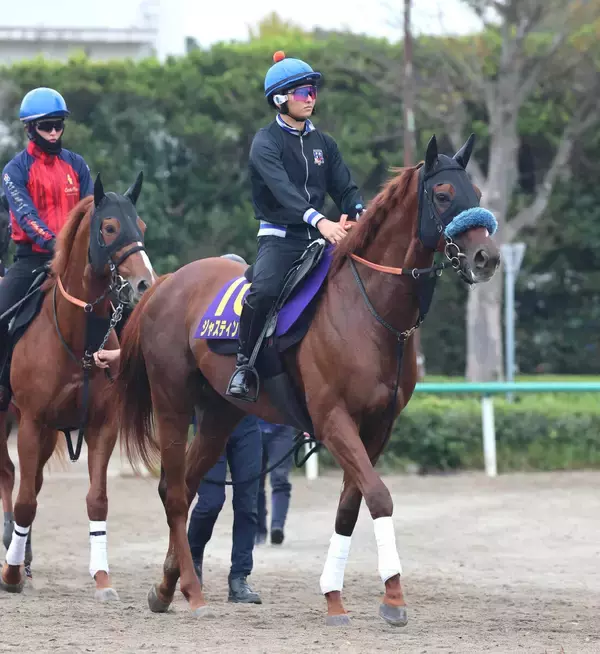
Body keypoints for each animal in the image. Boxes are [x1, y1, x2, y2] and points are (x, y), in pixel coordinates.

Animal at [0, 172, 155, 597]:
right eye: (109, 227)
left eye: (142, 226)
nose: (144, 283)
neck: (76, 338)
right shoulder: (32, 423)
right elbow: (25, 502)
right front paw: (11, 574)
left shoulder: (102, 427)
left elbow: (97, 499)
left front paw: (102, 577)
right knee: (10, 476)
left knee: (26, 479)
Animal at [113, 134, 501, 625]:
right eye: (444, 194)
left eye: (478, 193)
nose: (487, 257)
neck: (368, 309)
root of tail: (165, 283)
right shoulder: (333, 418)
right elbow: (379, 496)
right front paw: (393, 596)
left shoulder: (378, 427)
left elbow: (350, 506)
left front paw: (336, 595)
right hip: (173, 401)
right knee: (174, 491)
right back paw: (191, 590)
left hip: (220, 414)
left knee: (184, 486)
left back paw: (165, 587)